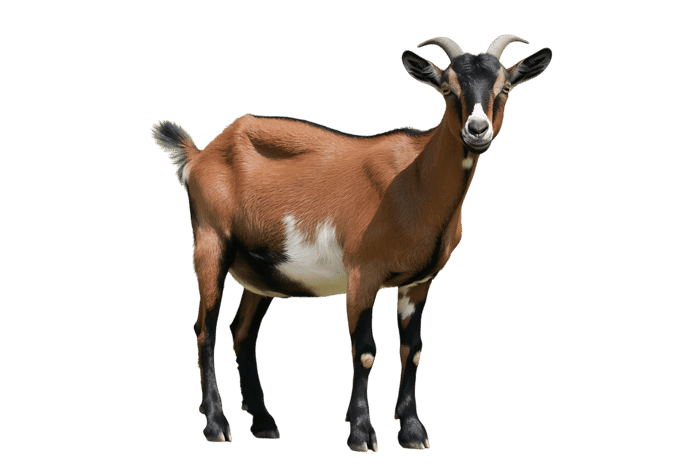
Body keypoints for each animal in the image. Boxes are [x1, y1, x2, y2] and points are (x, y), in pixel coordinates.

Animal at [150, 34, 552, 453]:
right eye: (447, 89)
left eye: (505, 88)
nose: (477, 129)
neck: (414, 180)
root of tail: (201, 156)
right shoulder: (363, 272)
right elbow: (365, 352)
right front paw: (361, 433)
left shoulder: (418, 282)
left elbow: (413, 350)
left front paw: (412, 431)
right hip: (211, 241)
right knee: (205, 329)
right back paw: (217, 425)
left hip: (262, 272)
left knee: (242, 333)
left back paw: (263, 423)